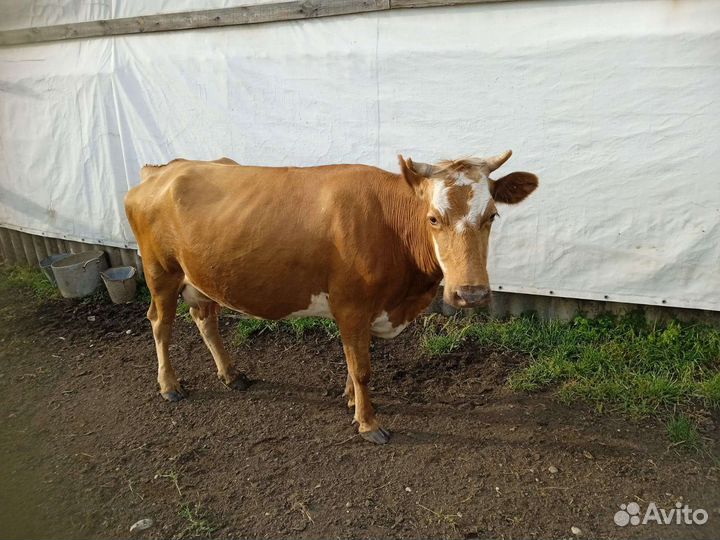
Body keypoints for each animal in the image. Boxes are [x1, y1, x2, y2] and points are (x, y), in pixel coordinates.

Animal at [124, 151, 538, 444]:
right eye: (434, 218)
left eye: (492, 215)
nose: (471, 292)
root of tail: (163, 169)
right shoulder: (352, 305)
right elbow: (363, 368)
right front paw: (369, 423)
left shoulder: (364, 310)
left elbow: (354, 362)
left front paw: (352, 400)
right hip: (160, 272)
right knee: (160, 323)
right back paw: (170, 386)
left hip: (202, 276)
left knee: (205, 319)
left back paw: (231, 375)